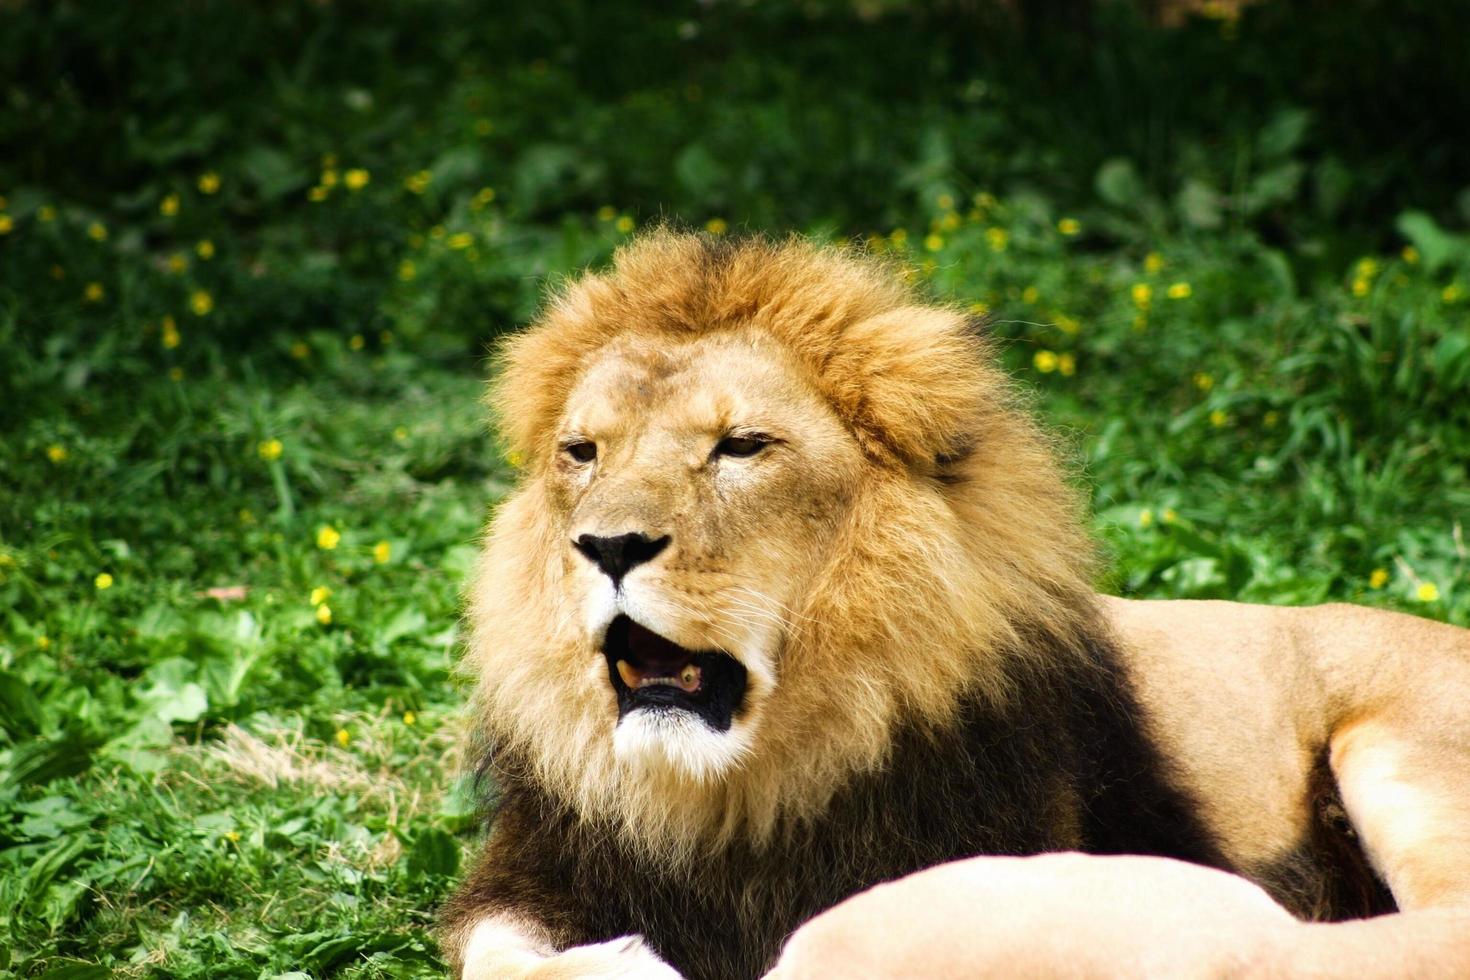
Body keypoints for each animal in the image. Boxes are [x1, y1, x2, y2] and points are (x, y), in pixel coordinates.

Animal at [441, 232, 1470, 980]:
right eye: (583, 452)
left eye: (741, 447)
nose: (609, 546)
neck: (734, 798)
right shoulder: (540, 874)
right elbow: (493, 952)